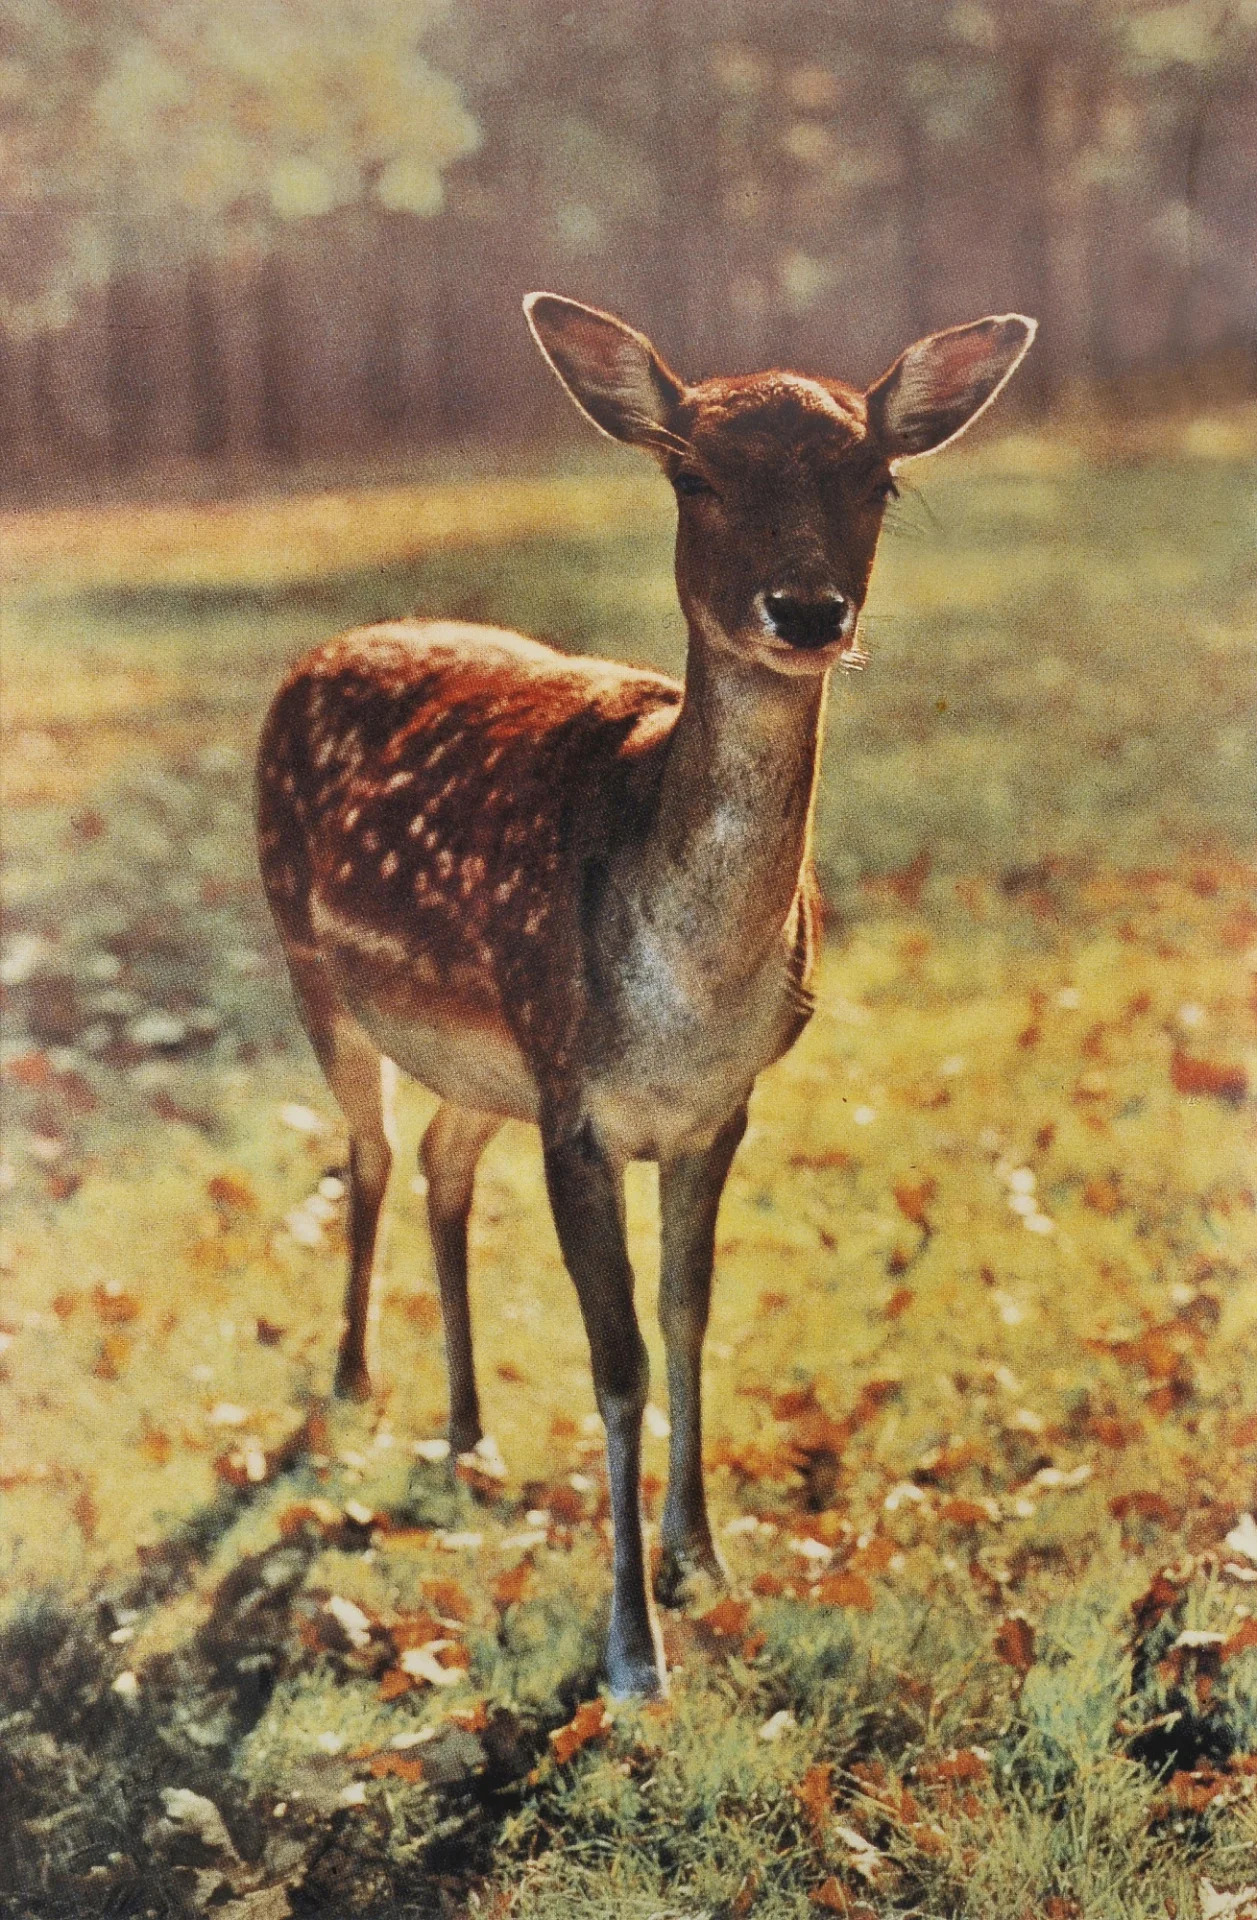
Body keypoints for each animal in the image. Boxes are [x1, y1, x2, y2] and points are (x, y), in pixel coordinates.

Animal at [256, 293, 1035, 1697]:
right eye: (694, 474)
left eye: (878, 479)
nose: (807, 607)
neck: (691, 1003)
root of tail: (319, 652)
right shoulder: (577, 1106)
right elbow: (614, 1360)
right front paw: (632, 1647)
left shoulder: (709, 1110)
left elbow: (687, 1318)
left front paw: (704, 1562)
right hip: (313, 962)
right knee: (372, 1153)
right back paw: (351, 1385)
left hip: (486, 1056)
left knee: (444, 1162)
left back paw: (469, 1431)